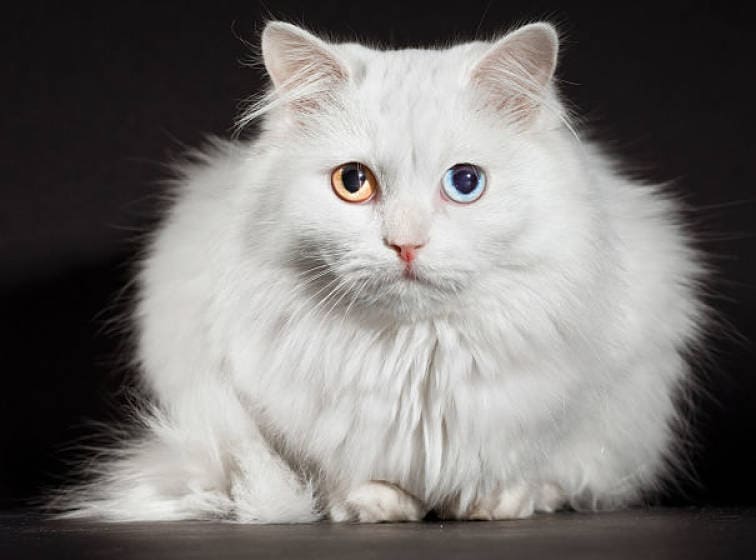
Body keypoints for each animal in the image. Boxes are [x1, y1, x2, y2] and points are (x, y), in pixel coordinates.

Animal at [56, 20, 704, 520]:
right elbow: (342, 475)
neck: (421, 355)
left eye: (464, 182)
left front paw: (496, 502)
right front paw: (382, 504)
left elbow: (539, 467)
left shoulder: (598, 402)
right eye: (353, 182)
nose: (406, 244)